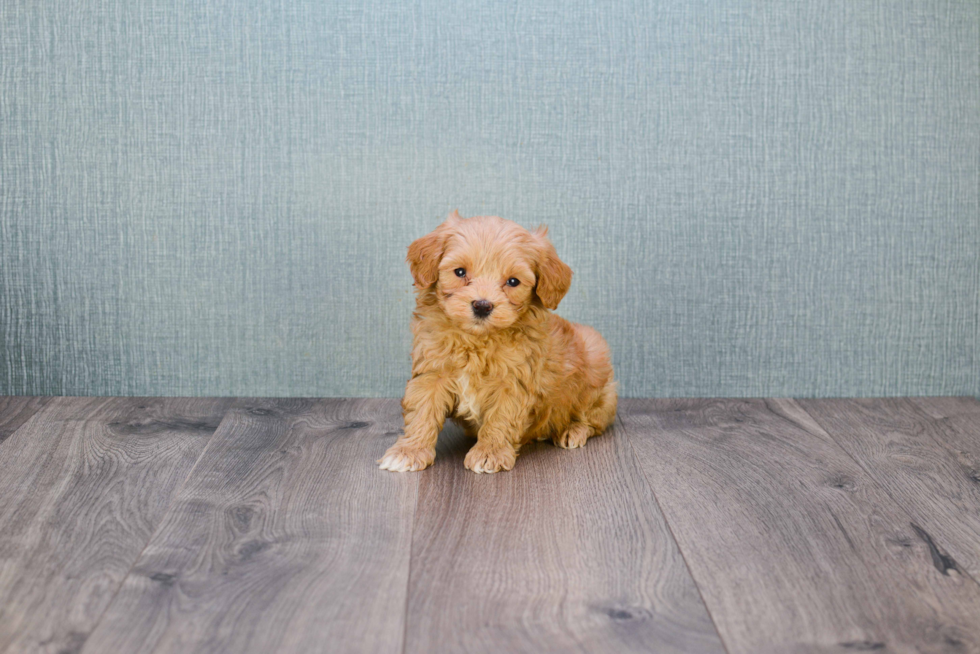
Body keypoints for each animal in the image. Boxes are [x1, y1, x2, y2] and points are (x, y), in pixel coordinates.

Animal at [378, 213, 616, 474]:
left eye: (513, 281)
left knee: (594, 419)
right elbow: (422, 411)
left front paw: (489, 452)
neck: (476, 340)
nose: (482, 305)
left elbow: (501, 418)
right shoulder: (432, 372)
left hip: (596, 365)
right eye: (459, 272)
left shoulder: (513, 381)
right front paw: (409, 451)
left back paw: (573, 430)